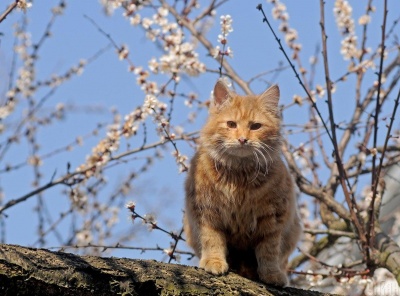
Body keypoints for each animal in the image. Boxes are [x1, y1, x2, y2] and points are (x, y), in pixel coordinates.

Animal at [184, 79, 300, 286]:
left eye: (255, 126)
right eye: (231, 124)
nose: (242, 139)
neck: (239, 176)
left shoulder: (273, 218)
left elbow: (269, 251)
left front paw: (271, 274)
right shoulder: (206, 212)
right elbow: (212, 240)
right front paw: (214, 261)